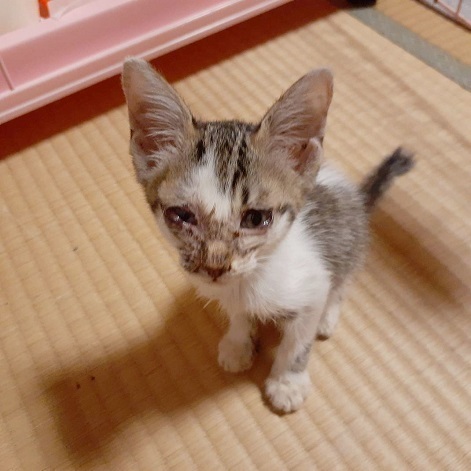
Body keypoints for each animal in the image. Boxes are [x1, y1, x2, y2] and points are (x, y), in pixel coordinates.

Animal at [121, 58, 414, 413]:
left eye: (256, 218)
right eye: (181, 215)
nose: (215, 266)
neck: (252, 280)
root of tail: (356, 194)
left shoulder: (312, 286)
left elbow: (298, 343)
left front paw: (287, 382)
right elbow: (238, 317)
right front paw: (238, 344)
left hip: (349, 244)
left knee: (343, 282)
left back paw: (329, 318)